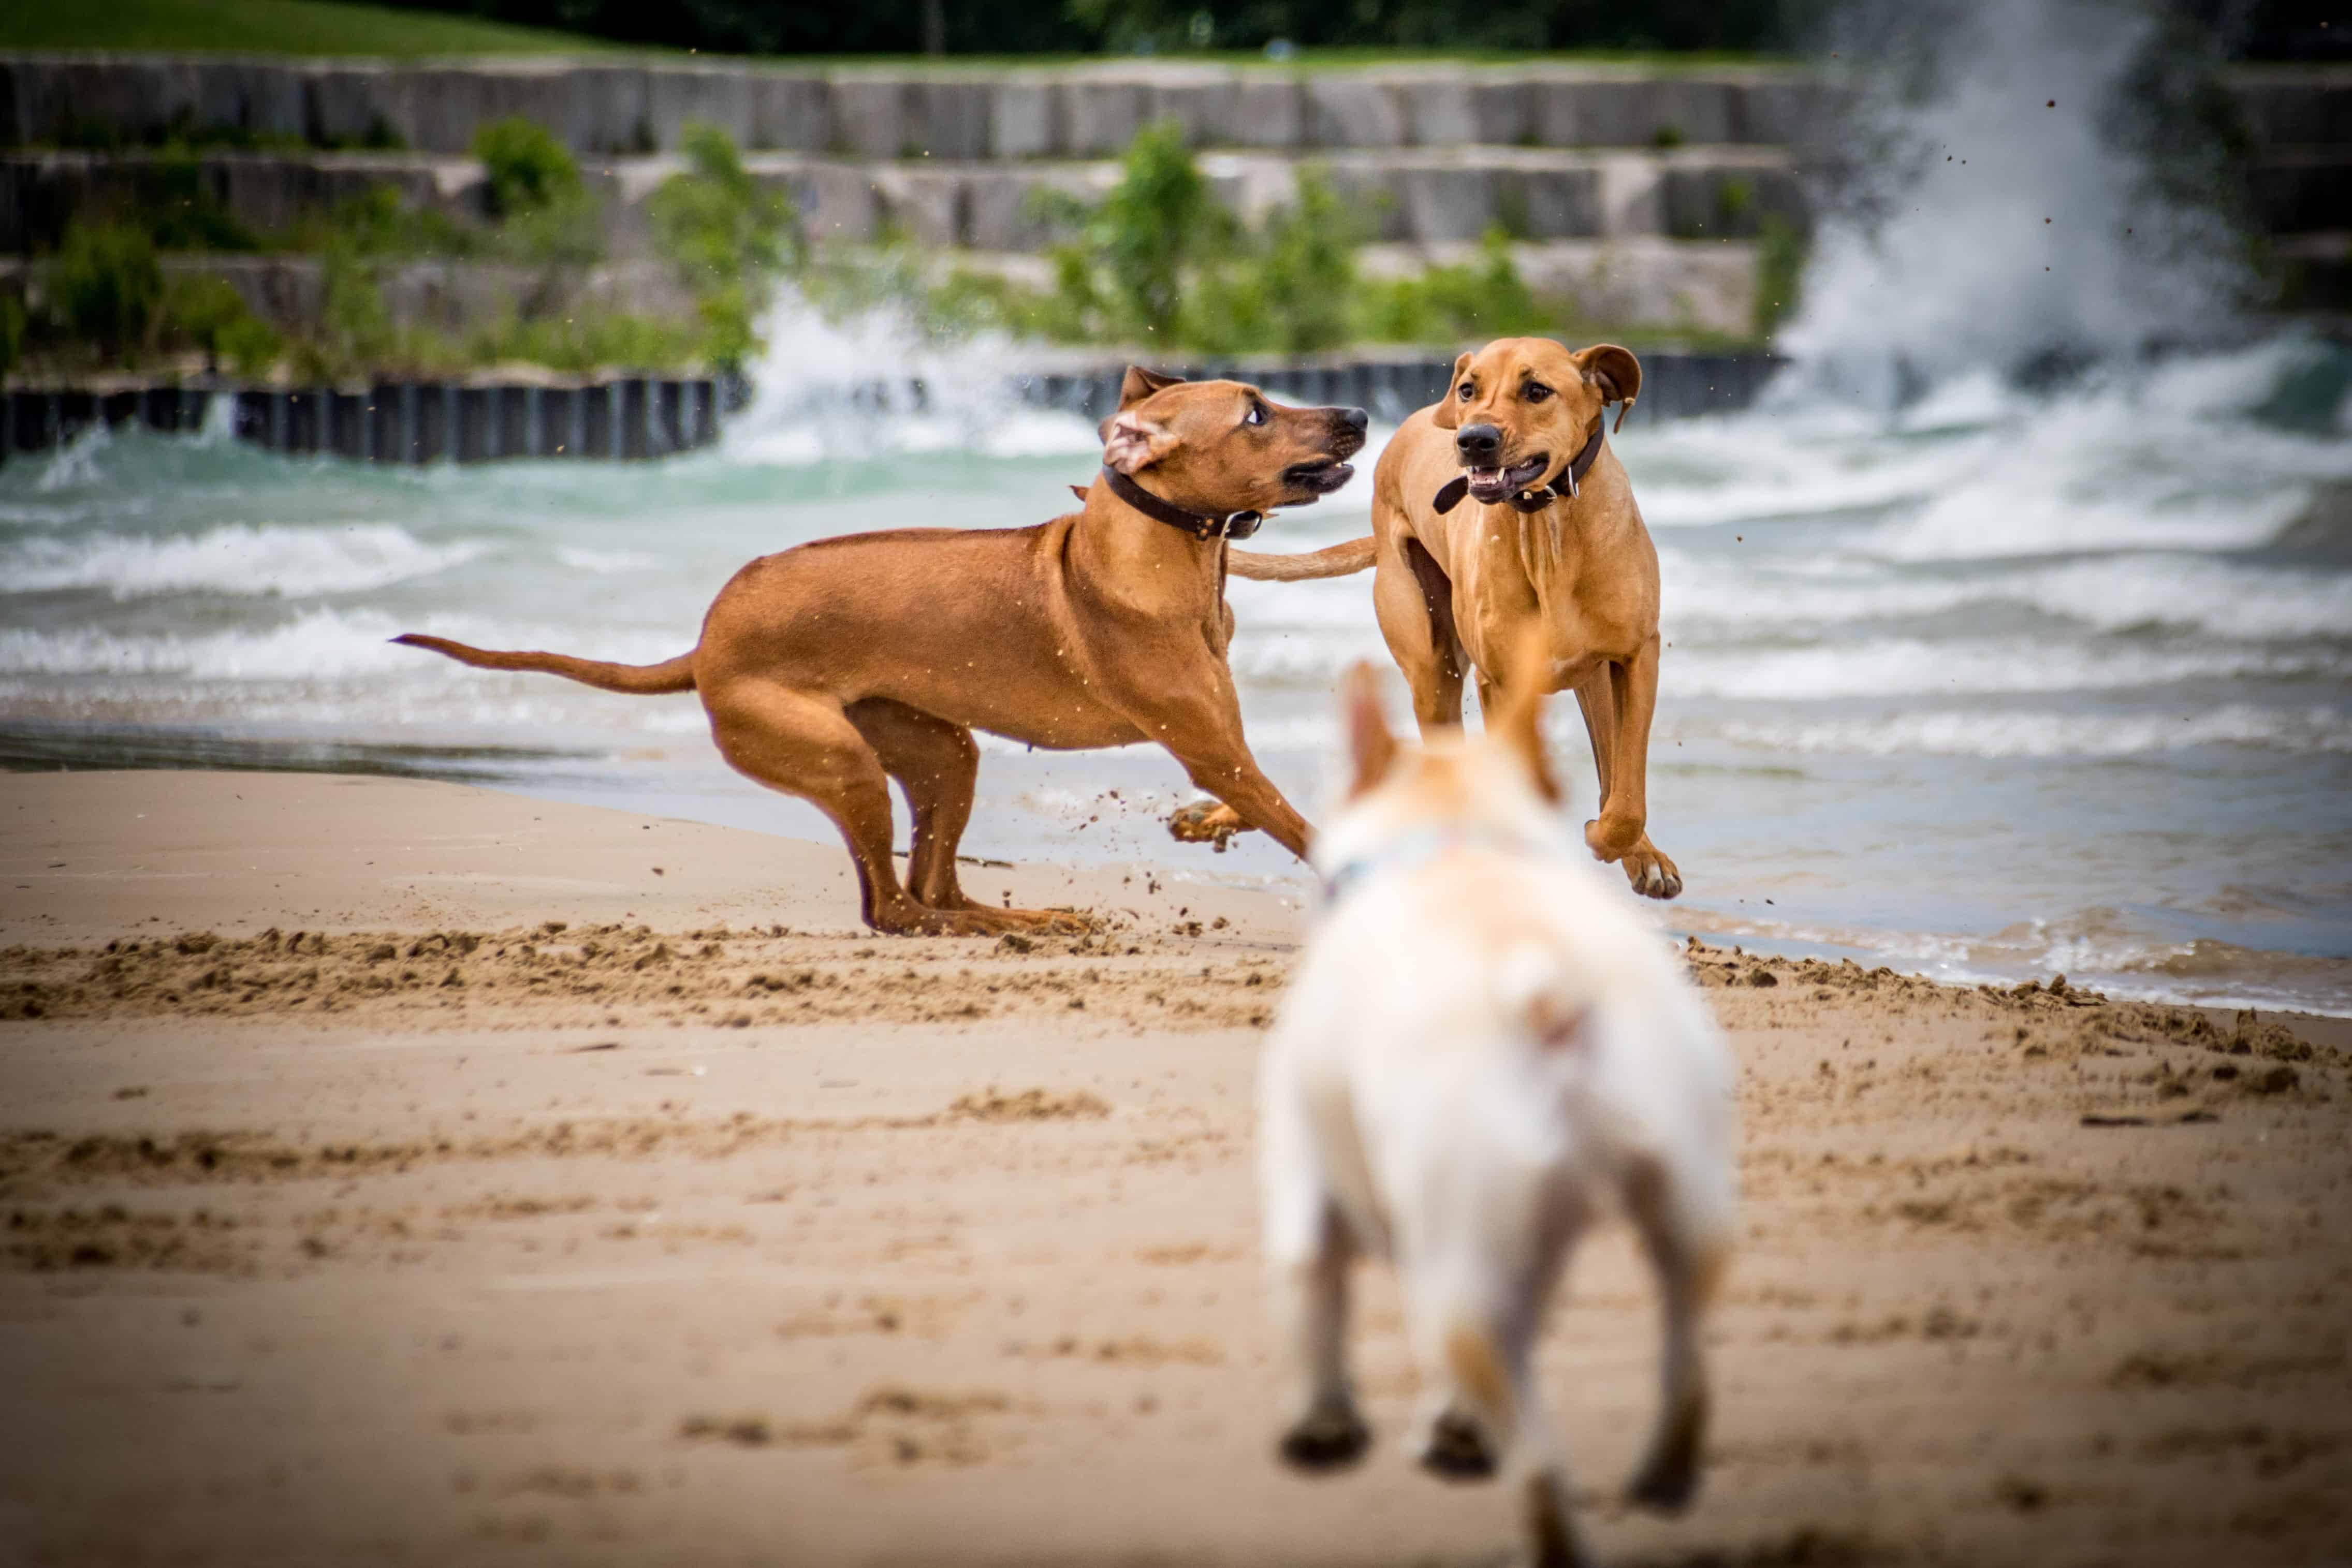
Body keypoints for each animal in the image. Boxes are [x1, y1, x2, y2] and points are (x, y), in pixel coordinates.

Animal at [397, 369, 1374, 931]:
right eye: (1255, 414)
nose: (1361, 413)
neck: (1167, 545)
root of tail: (707, 638)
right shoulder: (1206, 740)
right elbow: (1291, 815)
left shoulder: (1218, 741)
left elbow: (1256, 800)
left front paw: (1199, 824)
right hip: (840, 761)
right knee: (893, 908)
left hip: (938, 750)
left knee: (934, 884)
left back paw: (1023, 921)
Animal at [1204, 341, 1684, 907]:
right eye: (1469, 389)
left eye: (1537, 390)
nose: (1473, 438)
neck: (1549, 527)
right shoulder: (1500, 682)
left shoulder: (1636, 656)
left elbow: (1626, 793)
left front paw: (1626, 848)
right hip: (1431, 668)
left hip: (1589, 680)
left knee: (1610, 763)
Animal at [1261, 649, 1740, 1568]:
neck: (1455, 840)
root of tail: (1546, 987)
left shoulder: (1305, 1169)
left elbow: (1314, 1291)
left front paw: (1324, 1424)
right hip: (1687, 1209)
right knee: (1686, 1362)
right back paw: (1659, 1478)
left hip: (1459, 1258)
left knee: (1534, 1457)